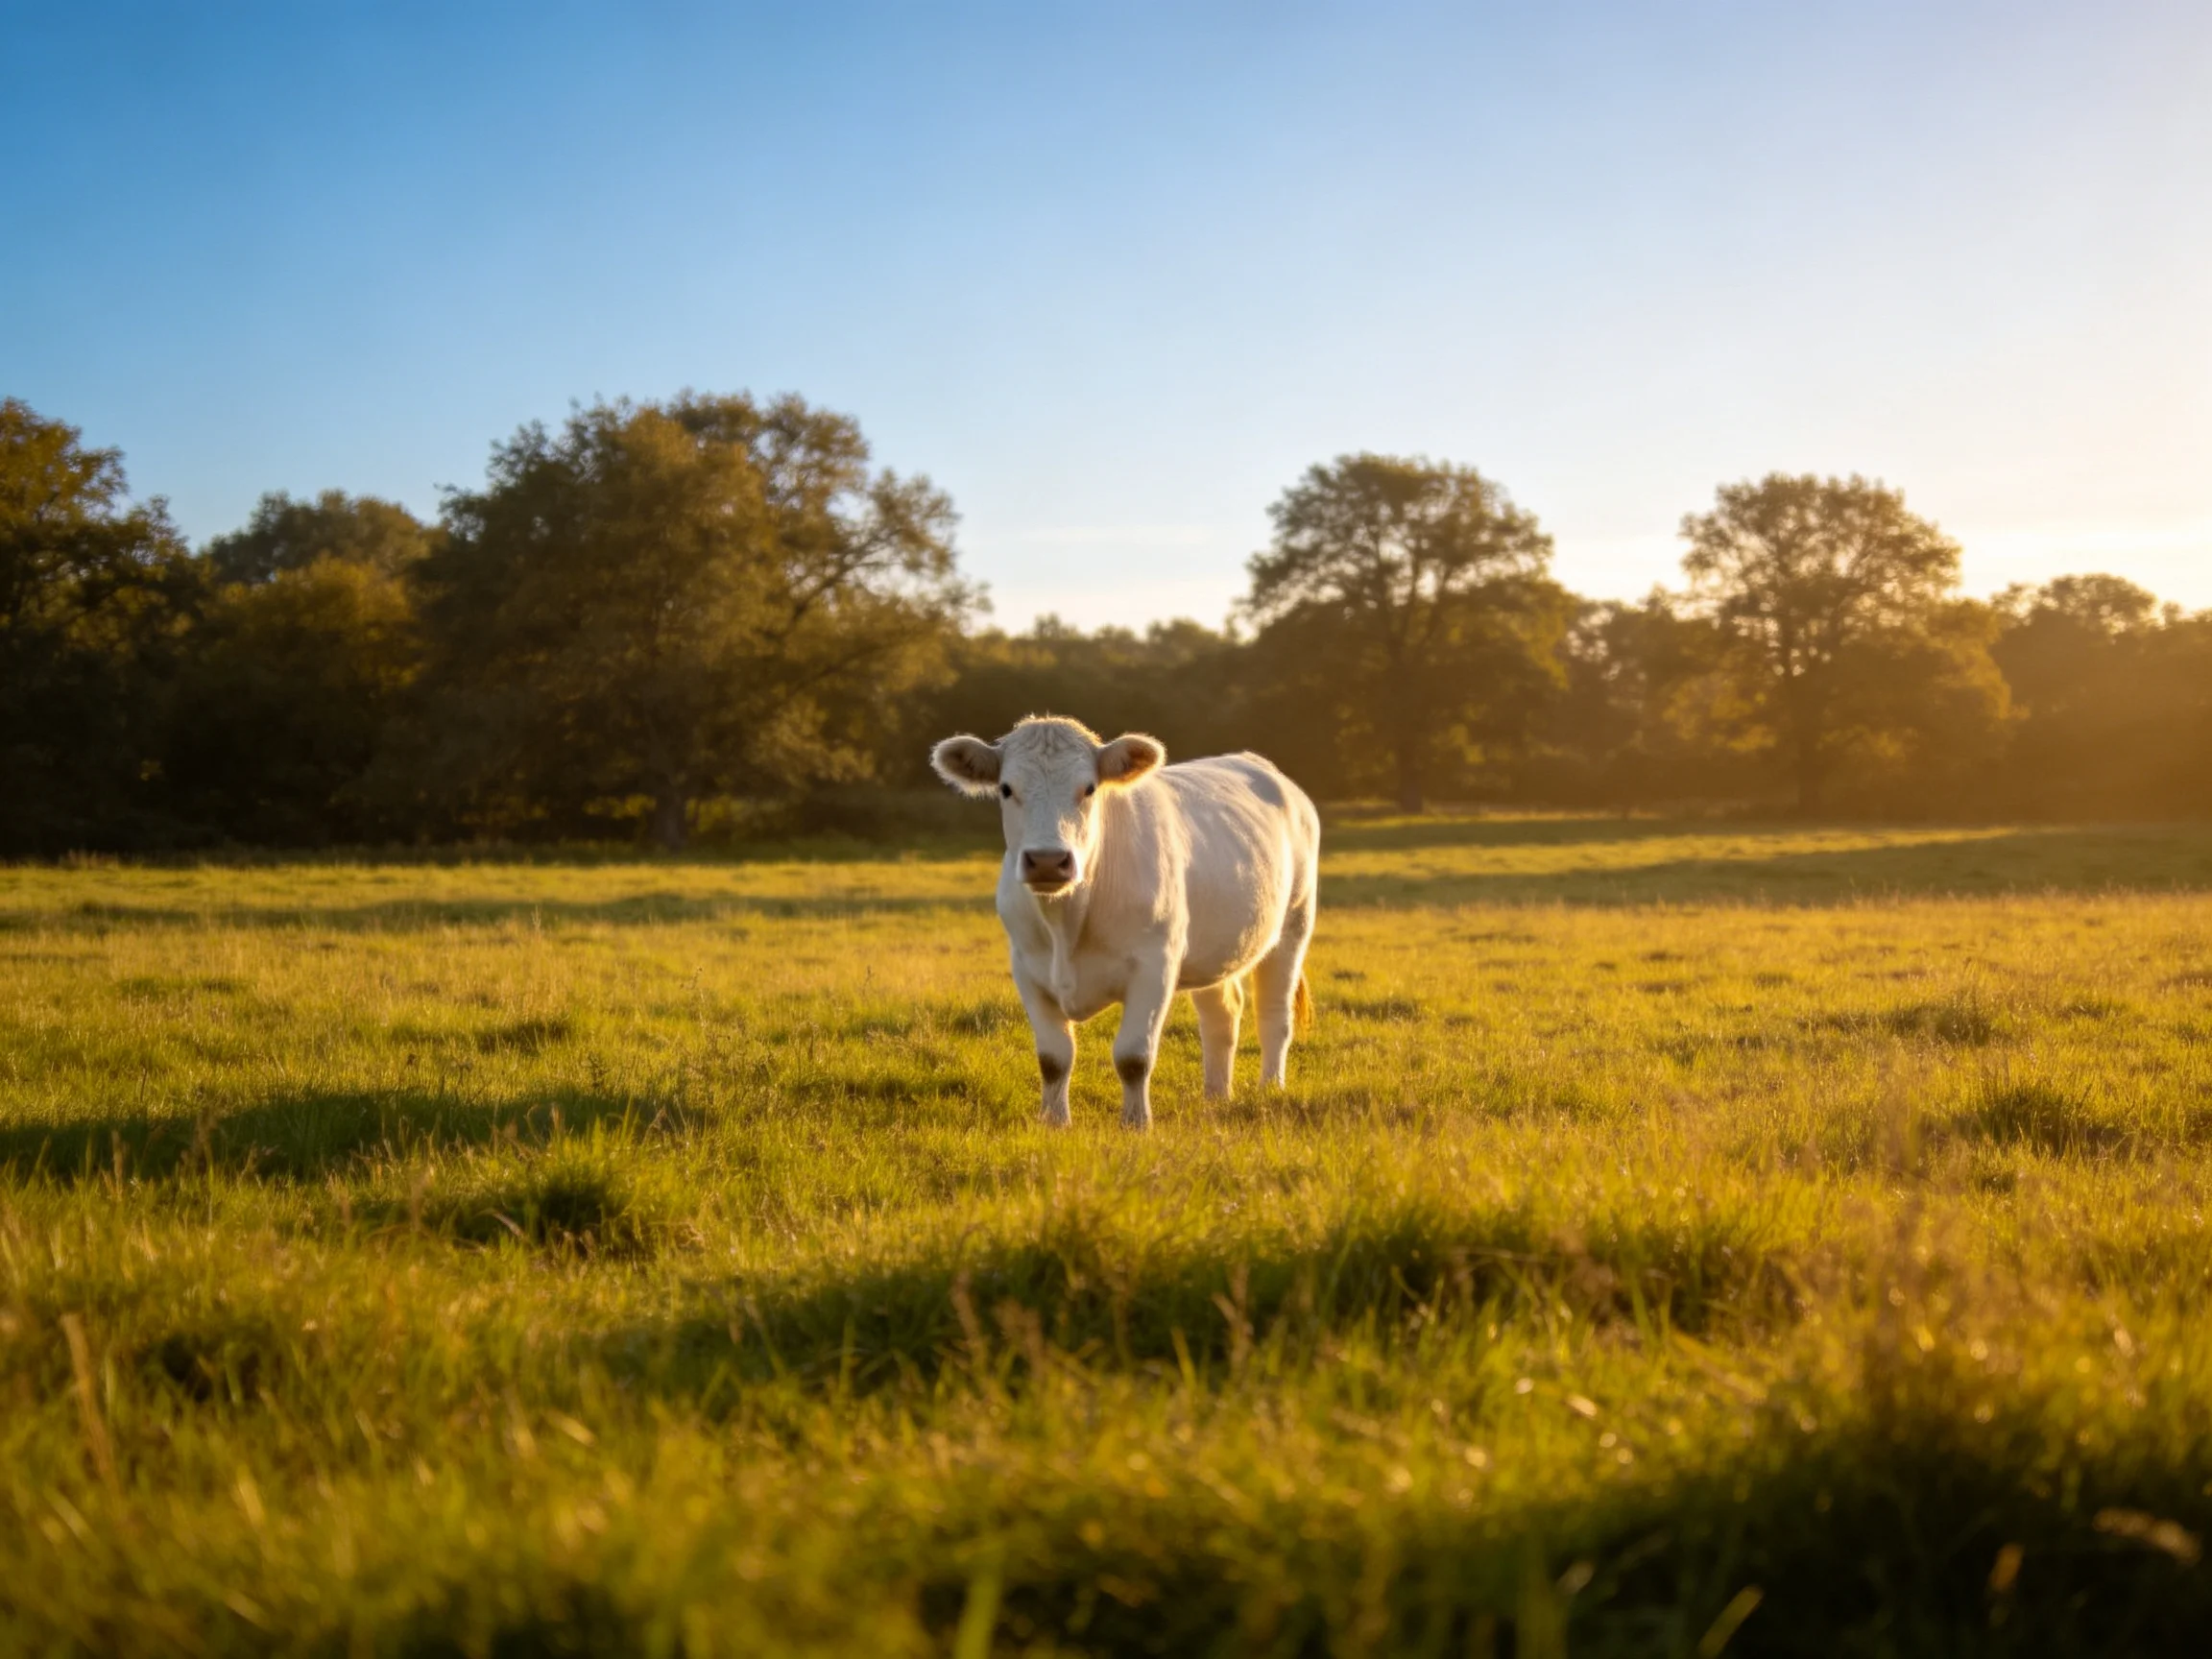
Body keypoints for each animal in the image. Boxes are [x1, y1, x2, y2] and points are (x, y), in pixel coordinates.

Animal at [930, 716, 1319, 1129]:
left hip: (1294, 924)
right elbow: (1053, 1058)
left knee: (1274, 1016)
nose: (1048, 861)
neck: (1067, 924)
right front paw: (1054, 1121)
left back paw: (1269, 1089)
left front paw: (1136, 1123)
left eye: (1089, 788)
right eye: (1006, 788)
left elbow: (1133, 1057)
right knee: (1222, 1014)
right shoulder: (1027, 967)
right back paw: (1216, 1097)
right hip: (1217, 947)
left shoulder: (1155, 967)